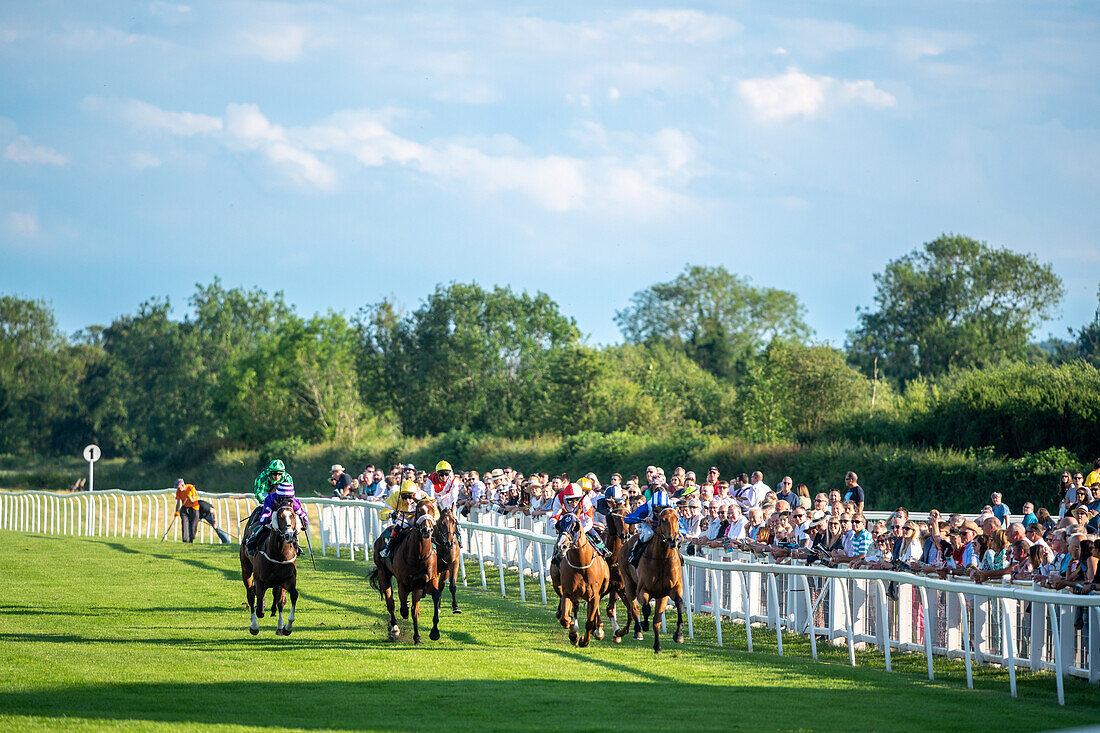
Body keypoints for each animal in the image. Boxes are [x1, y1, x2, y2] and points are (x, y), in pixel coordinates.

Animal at [239, 501, 301, 633]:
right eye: (280, 517)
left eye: (293, 516)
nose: (289, 535)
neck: (279, 554)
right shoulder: (260, 580)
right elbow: (259, 606)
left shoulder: (287, 578)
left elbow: (289, 597)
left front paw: (285, 627)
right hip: (246, 569)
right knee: (250, 594)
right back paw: (254, 625)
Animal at [367, 499, 440, 642]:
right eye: (419, 510)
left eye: (433, 511)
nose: (427, 530)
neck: (419, 556)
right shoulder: (403, 584)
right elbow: (403, 607)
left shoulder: (427, 581)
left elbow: (433, 597)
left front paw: (433, 633)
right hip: (383, 573)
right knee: (390, 603)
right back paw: (395, 630)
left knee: (413, 609)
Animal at [558, 508, 611, 647]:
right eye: (559, 525)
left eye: (575, 526)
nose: (561, 546)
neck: (581, 565)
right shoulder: (568, 592)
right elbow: (565, 619)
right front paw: (573, 632)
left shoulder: (594, 595)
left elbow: (589, 622)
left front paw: (584, 640)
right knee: (575, 607)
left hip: (601, 590)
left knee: (595, 610)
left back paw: (598, 630)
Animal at [616, 506, 682, 651]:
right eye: (663, 520)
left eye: (678, 518)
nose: (674, 540)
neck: (662, 559)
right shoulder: (643, 589)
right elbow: (645, 608)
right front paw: (644, 624)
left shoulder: (672, 590)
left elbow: (678, 604)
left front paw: (678, 635)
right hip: (628, 583)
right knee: (634, 607)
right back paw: (637, 631)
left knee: (656, 620)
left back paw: (657, 646)